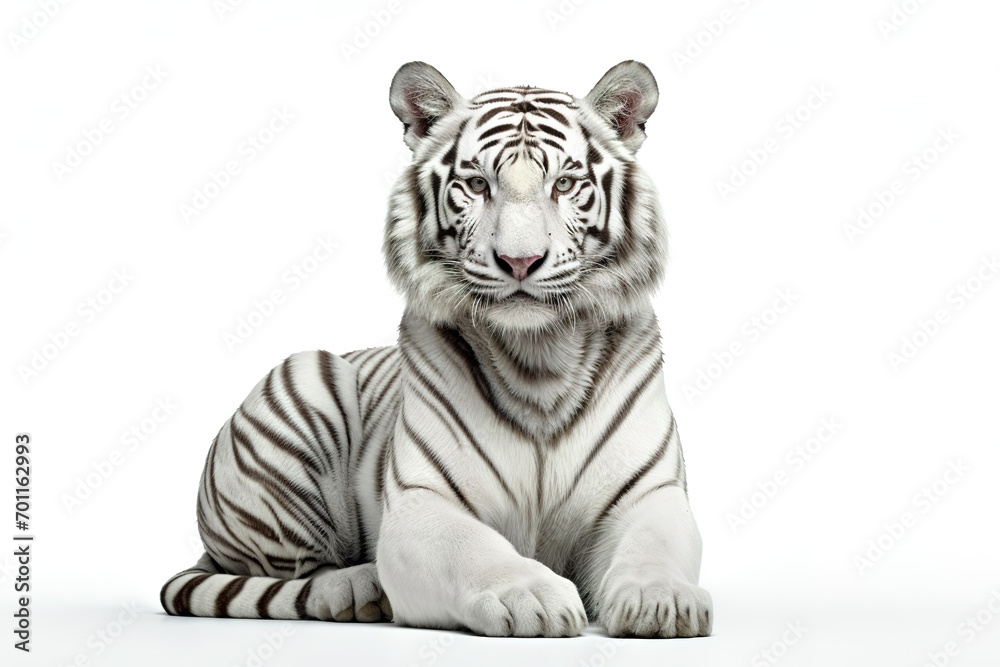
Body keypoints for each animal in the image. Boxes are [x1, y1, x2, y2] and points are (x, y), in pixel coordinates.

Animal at [160, 60, 713, 638]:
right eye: (477, 184)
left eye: (564, 183)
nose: (520, 261)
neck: (539, 357)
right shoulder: (423, 504)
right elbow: (474, 550)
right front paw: (533, 595)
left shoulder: (649, 496)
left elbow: (651, 547)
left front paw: (662, 600)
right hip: (304, 383)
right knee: (301, 572)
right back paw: (359, 589)